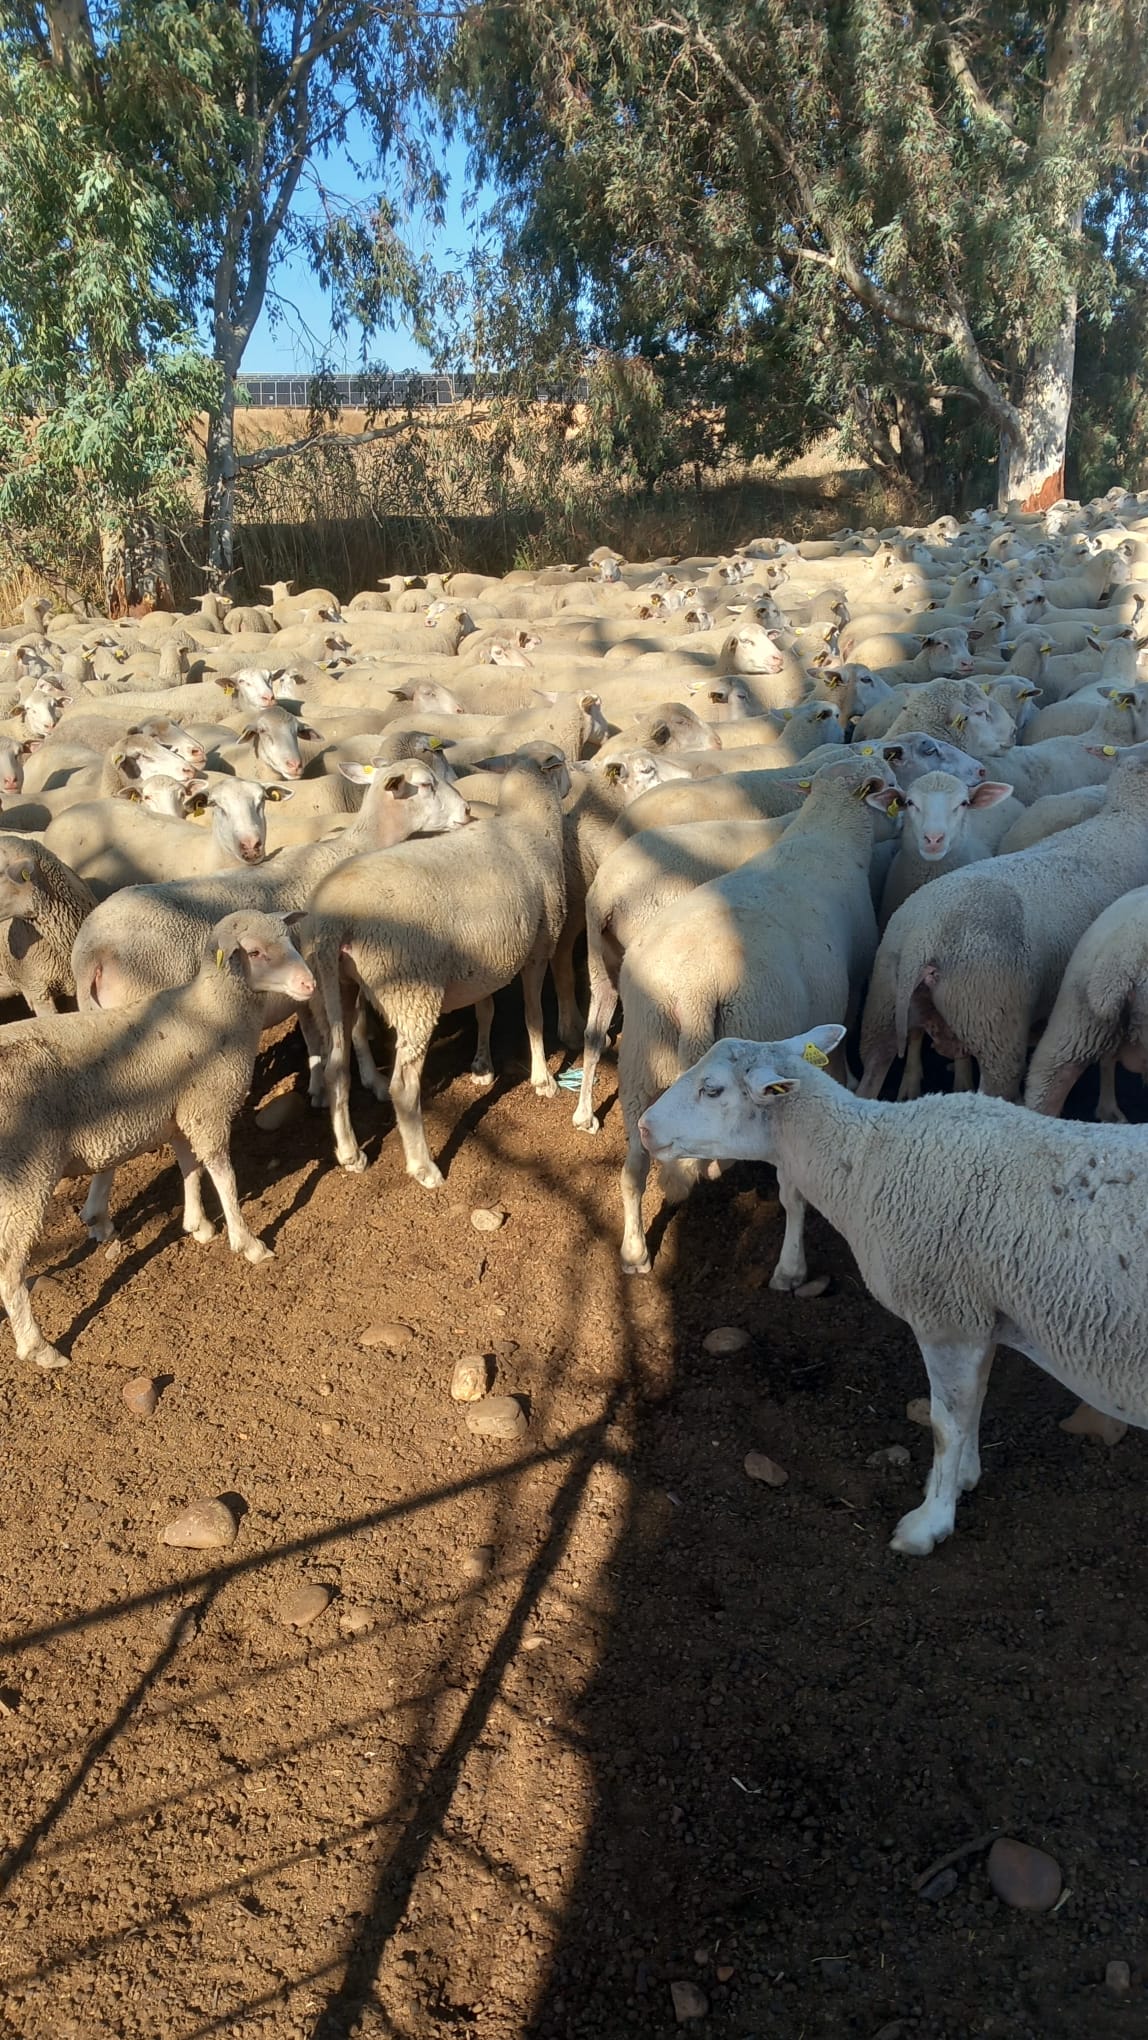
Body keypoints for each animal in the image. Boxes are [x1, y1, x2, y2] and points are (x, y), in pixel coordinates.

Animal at [0, 910, 314, 1370]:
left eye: (290, 939)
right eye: (254, 952)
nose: (309, 984)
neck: (214, 1011)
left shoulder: (180, 1112)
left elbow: (190, 1167)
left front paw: (198, 1224)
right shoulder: (207, 1106)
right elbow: (224, 1175)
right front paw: (247, 1242)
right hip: (25, 1173)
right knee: (9, 1268)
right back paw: (39, 1348)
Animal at [308, 756, 566, 1188]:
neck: (528, 820)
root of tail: (333, 921)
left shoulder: (487, 958)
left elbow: (486, 1011)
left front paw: (482, 1067)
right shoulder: (539, 947)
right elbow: (534, 1017)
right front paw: (543, 1078)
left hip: (337, 986)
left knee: (335, 1068)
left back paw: (350, 1153)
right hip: (412, 989)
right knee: (403, 1087)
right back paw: (424, 1167)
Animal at [614, 756, 895, 1273]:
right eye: (894, 791)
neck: (830, 830)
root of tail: (694, 988)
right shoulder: (855, 978)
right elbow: (844, 1043)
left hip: (641, 1059)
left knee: (633, 1168)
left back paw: (635, 1252)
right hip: (756, 1030)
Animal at [637, 1027, 1148, 1553]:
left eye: (712, 1089)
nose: (642, 1127)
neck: (867, 1158)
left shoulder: (945, 1315)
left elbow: (946, 1425)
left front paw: (929, 1523)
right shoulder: (978, 1314)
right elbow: (973, 1401)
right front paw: (962, 1477)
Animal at [858, 745, 1148, 1103]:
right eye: (910, 803)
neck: (1128, 814)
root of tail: (922, 939)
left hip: (882, 1008)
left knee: (869, 1076)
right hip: (992, 1019)